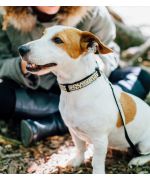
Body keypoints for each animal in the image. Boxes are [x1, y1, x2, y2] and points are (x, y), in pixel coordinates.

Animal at [18, 25, 150, 173]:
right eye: (42, 34)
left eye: (58, 40)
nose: (21, 49)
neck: (78, 89)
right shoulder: (74, 132)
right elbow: (80, 148)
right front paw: (77, 161)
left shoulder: (100, 139)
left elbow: (97, 162)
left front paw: (97, 173)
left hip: (144, 144)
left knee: (146, 154)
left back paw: (138, 160)